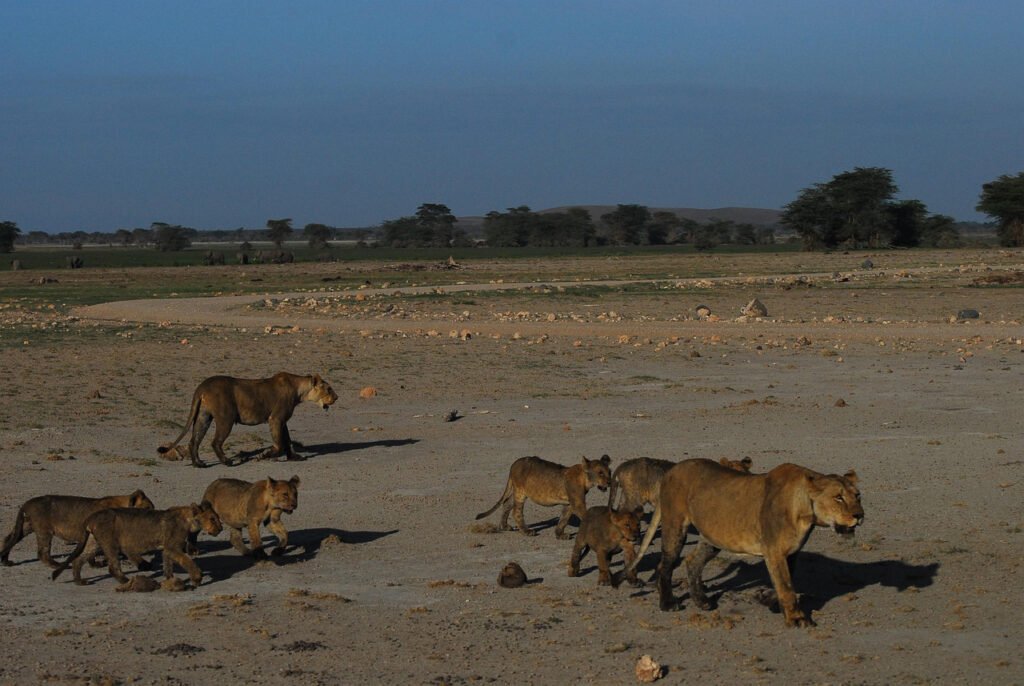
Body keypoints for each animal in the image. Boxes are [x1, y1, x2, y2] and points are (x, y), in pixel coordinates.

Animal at [1, 490, 155, 568]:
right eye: (147, 508)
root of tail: (27, 503)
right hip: (44, 530)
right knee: (42, 552)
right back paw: (57, 565)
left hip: (27, 526)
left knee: (9, 539)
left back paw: (6, 561)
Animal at [51, 503, 222, 588]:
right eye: (212, 519)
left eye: (217, 518)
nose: (220, 529)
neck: (189, 519)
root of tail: (91, 517)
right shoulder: (173, 547)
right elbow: (188, 561)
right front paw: (197, 578)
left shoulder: (167, 548)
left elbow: (168, 565)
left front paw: (169, 580)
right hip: (110, 542)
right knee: (112, 566)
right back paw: (125, 581)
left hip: (94, 542)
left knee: (77, 560)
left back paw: (79, 581)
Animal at [157, 372, 338, 467]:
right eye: (329, 389)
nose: (337, 397)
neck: (298, 390)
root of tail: (202, 385)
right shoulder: (275, 418)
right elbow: (279, 444)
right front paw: (263, 455)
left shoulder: (283, 421)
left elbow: (287, 441)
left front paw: (294, 457)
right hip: (226, 418)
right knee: (215, 442)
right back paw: (227, 461)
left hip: (204, 416)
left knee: (194, 440)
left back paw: (199, 464)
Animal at [475, 455, 612, 539]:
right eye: (600, 473)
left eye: (609, 472)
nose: (609, 482)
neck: (585, 479)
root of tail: (514, 463)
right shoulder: (577, 503)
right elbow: (585, 516)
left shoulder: (569, 503)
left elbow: (564, 519)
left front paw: (560, 535)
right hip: (520, 492)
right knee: (516, 511)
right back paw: (526, 531)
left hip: (515, 491)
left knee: (507, 504)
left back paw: (505, 526)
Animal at [632, 459, 863, 627]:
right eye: (838, 497)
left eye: (858, 496)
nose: (859, 515)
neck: (806, 513)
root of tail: (672, 469)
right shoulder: (774, 551)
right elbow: (786, 586)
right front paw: (796, 618)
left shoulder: (790, 553)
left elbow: (784, 582)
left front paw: (769, 601)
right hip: (675, 525)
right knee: (665, 564)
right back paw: (668, 603)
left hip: (712, 538)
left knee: (692, 561)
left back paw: (702, 601)